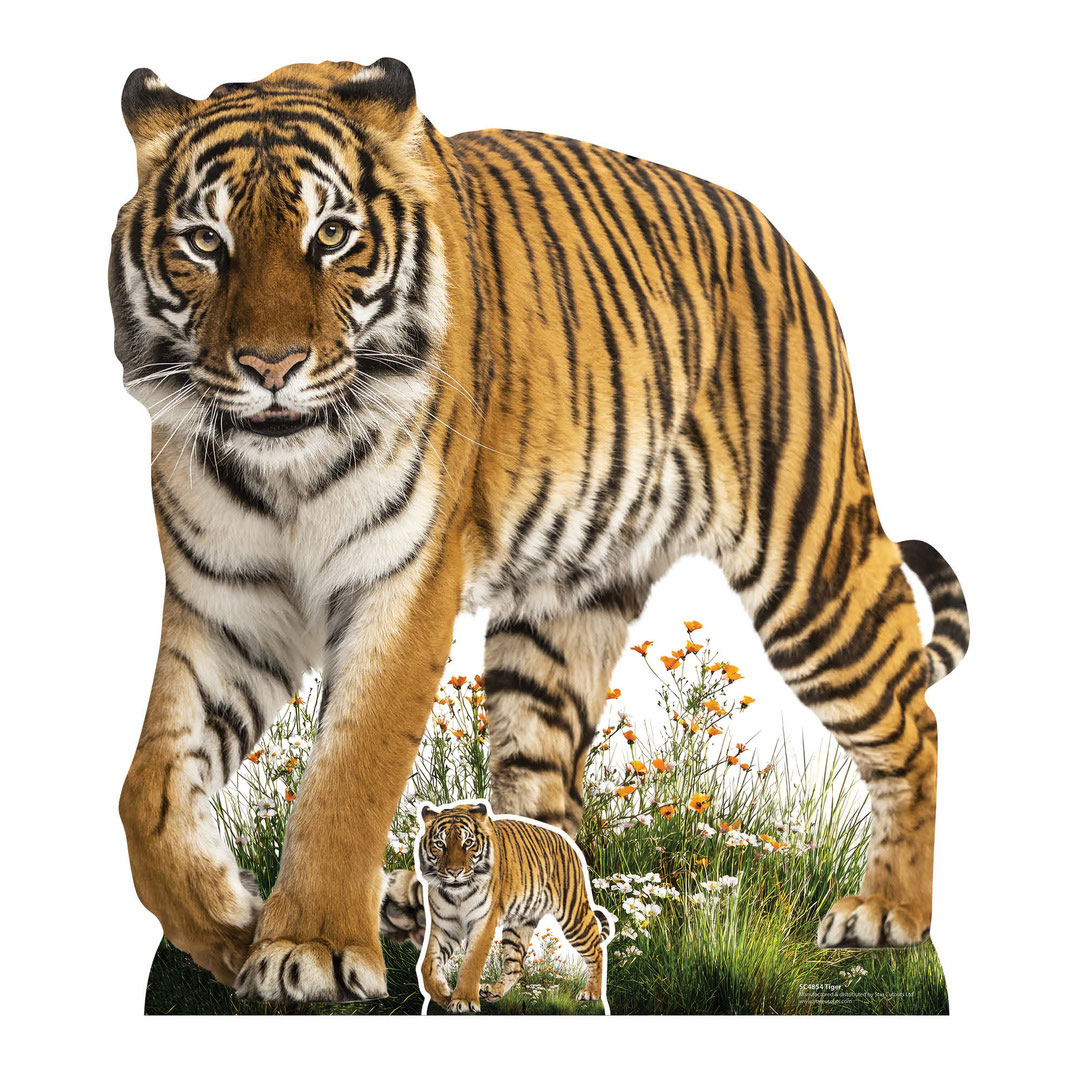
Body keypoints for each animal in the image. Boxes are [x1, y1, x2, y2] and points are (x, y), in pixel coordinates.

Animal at [414, 802, 610, 1013]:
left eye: (468, 843)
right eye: (439, 844)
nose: (454, 872)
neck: (457, 894)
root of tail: (568, 842)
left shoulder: (483, 921)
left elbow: (471, 963)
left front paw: (463, 1001)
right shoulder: (444, 924)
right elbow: (426, 965)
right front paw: (444, 995)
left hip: (574, 916)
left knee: (597, 950)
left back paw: (592, 992)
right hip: (519, 924)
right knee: (516, 966)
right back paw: (493, 992)